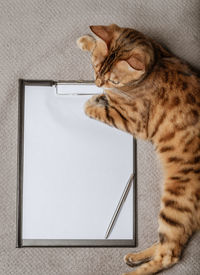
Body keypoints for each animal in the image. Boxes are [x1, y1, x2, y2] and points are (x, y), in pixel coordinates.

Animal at [76, 24, 200, 275]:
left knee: (170, 254)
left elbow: (98, 110)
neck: (156, 63)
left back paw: (131, 271)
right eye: (96, 68)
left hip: (177, 200)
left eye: (114, 80)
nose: (97, 83)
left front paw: (93, 101)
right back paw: (134, 257)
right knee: (168, 245)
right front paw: (87, 41)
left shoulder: (133, 122)